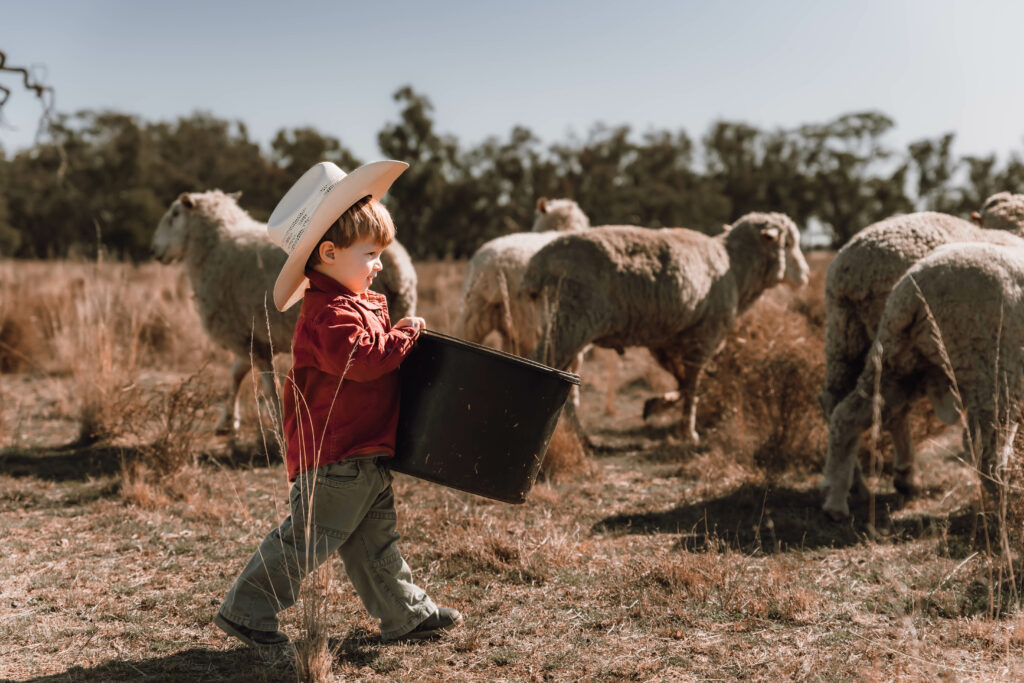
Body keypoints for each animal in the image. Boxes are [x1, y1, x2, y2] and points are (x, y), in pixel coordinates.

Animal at [149, 188, 419, 432]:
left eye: (174, 214)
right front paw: (229, 420)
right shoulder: (252, 335)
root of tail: (399, 269)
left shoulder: (241, 332)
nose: (154, 251)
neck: (212, 247)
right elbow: (238, 372)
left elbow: (267, 385)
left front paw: (278, 424)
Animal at [524, 214, 811, 448]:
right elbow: (693, 386)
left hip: (558, 318)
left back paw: (579, 436)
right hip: (571, 319)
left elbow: (682, 382)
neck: (736, 269)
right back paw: (573, 437)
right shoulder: (705, 336)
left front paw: (656, 405)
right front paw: (689, 433)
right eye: (787, 244)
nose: (806, 275)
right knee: (549, 366)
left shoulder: (668, 340)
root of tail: (539, 262)